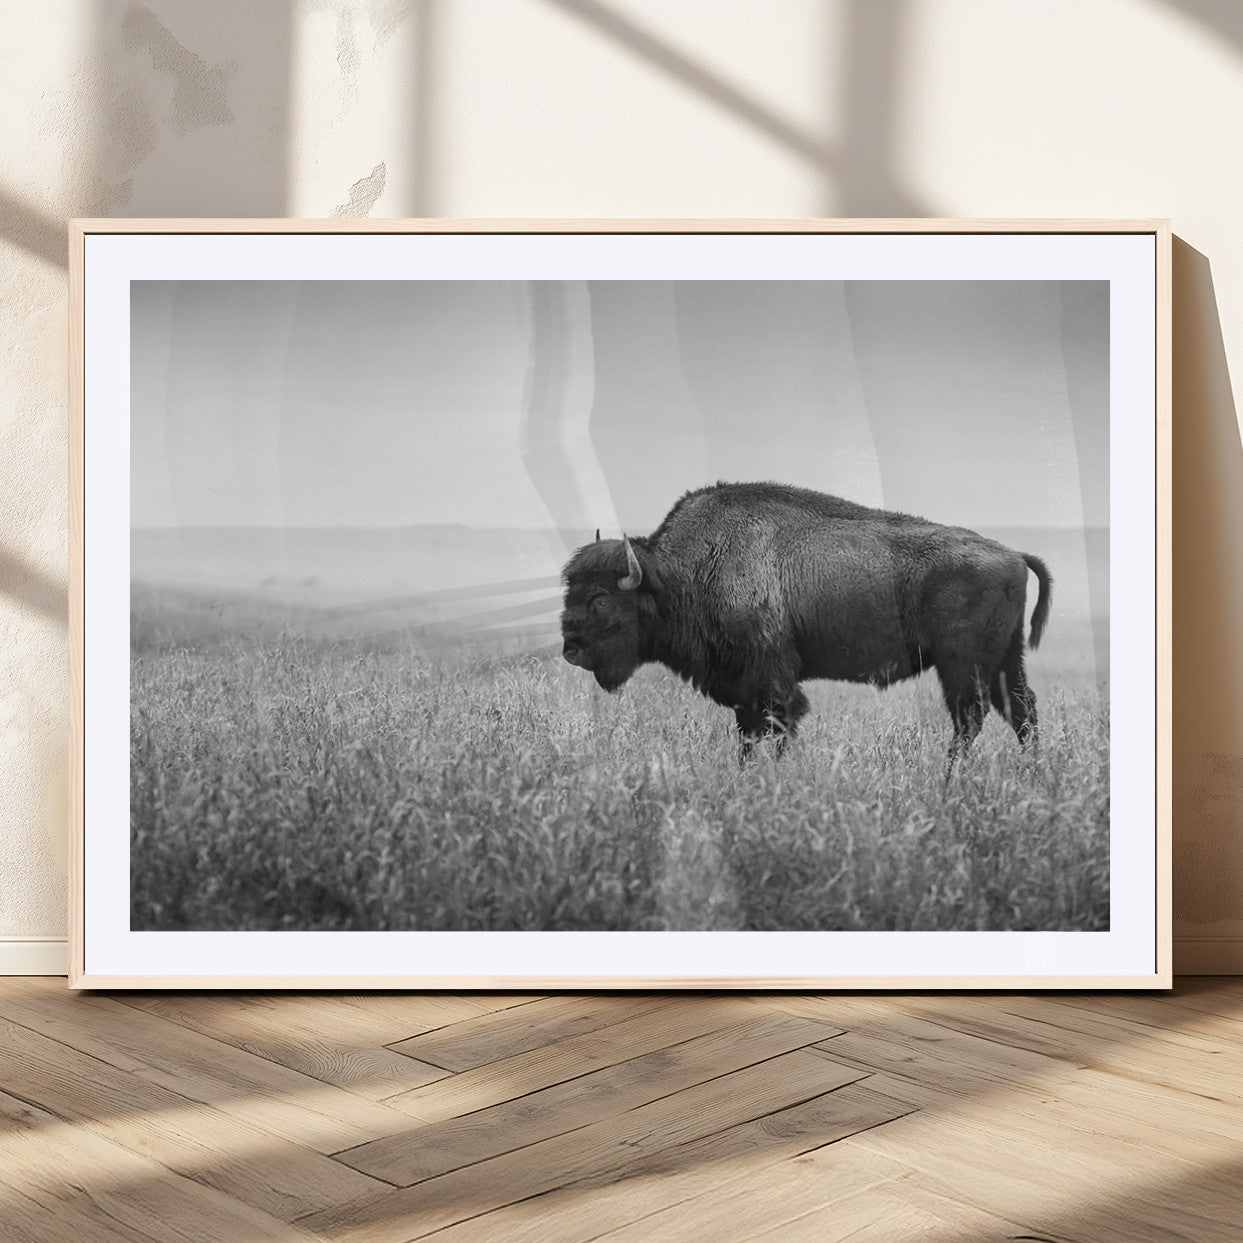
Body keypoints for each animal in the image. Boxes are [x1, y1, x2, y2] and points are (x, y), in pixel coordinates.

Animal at [560, 482, 1052, 761]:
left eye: (601, 599)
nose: (570, 650)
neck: (681, 573)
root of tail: (1013, 554)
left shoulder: (772, 684)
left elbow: (777, 729)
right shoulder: (745, 693)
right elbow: (748, 738)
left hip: (961, 665)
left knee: (971, 718)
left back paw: (950, 780)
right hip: (1005, 660)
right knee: (1021, 712)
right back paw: (1032, 777)